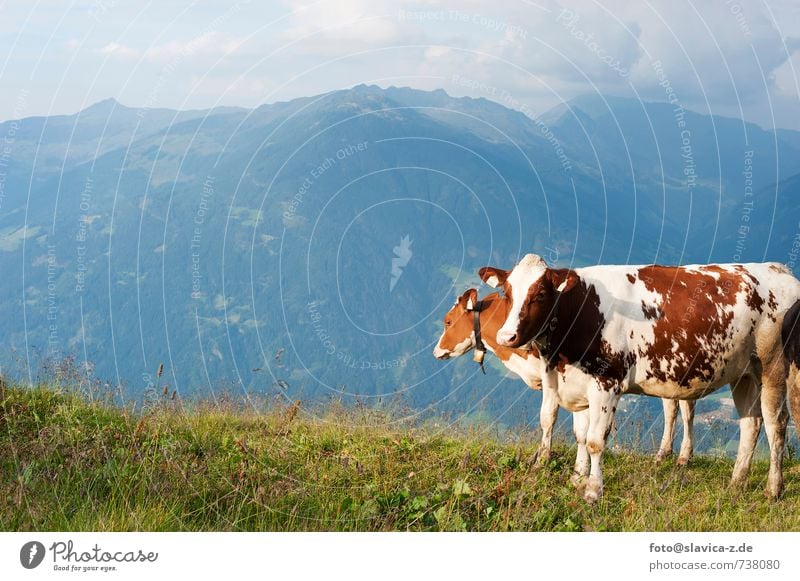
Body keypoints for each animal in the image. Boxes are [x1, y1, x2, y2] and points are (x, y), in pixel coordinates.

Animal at [432, 286, 692, 476]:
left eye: (447, 321)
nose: (436, 351)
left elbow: (549, 417)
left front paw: (542, 459)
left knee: (685, 409)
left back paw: (681, 456)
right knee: (673, 407)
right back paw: (666, 454)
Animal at [482, 254, 800, 502]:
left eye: (540, 295)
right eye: (507, 294)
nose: (506, 337)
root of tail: (778, 270)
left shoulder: (606, 383)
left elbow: (596, 440)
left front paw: (593, 491)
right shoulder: (573, 382)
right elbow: (580, 435)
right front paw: (576, 479)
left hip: (772, 366)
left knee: (776, 423)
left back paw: (773, 489)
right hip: (742, 373)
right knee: (750, 423)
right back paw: (736, 483)